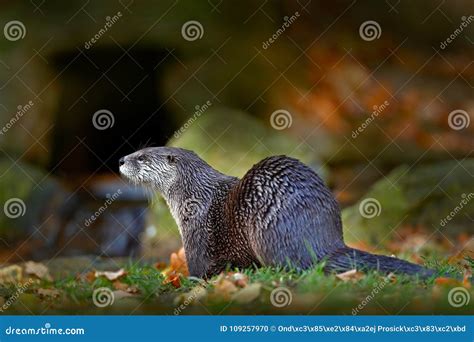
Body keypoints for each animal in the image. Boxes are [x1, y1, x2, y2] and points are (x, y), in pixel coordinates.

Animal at [119, 146, 436, 280]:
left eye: (142, 157)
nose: (121, 159)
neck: (193, 195)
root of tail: (326, 242)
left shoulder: (196, 231)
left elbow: (198, 267)